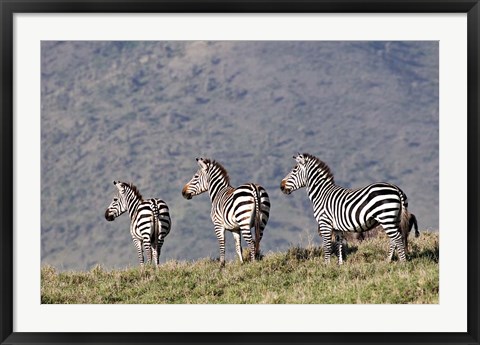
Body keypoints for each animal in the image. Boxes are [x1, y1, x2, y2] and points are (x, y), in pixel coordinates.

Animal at [280, 153, 410, 264]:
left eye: (294, 170)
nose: (281, 186)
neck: (322, 193)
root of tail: (396, 188)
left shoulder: (325, 223)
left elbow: (327, 246)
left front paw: (326, 266)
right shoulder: (337, 227)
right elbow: (339, 245)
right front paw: (340, 264)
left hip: (386, 217)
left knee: (397, 237)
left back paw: (402, 263)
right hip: (394, 218)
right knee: (394, 238)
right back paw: (388, 261)